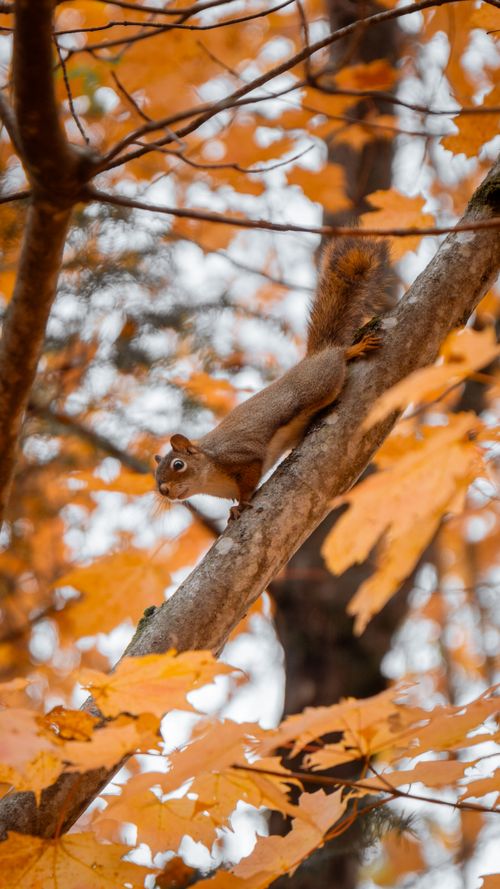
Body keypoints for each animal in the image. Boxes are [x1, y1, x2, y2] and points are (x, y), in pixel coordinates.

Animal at [155, 237, 389, 519]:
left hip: (320, 383)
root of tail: (315, 355)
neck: (210, 475)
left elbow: (249, 479)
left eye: (178, 464)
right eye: (156, 477)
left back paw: (352, 349)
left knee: (337, 358)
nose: (164, 491)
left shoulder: (242, 457)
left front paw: (242, 503)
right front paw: (232, 509)